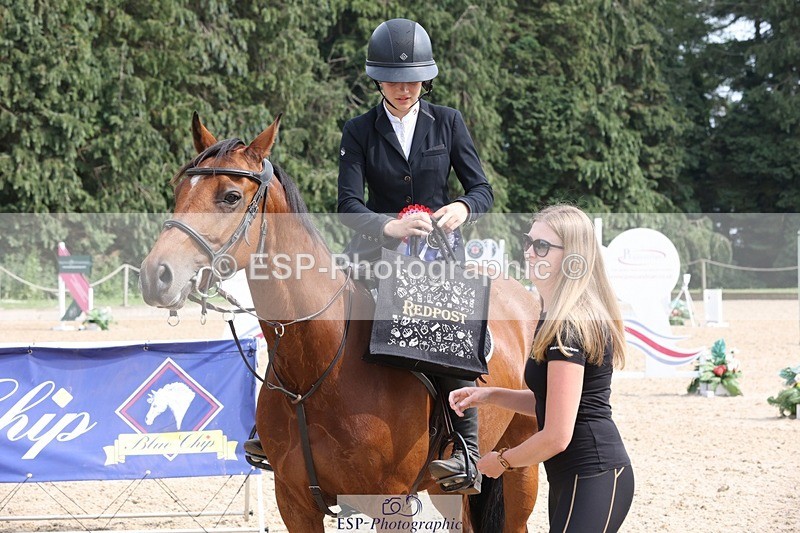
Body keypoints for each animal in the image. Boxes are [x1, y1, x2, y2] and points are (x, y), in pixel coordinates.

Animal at [140, 113, 541, 532]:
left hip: (519, 469)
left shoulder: (391, 503)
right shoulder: (295, 503)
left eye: (230, 196)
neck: (318, 366)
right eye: (179, 189)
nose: (156, 275)